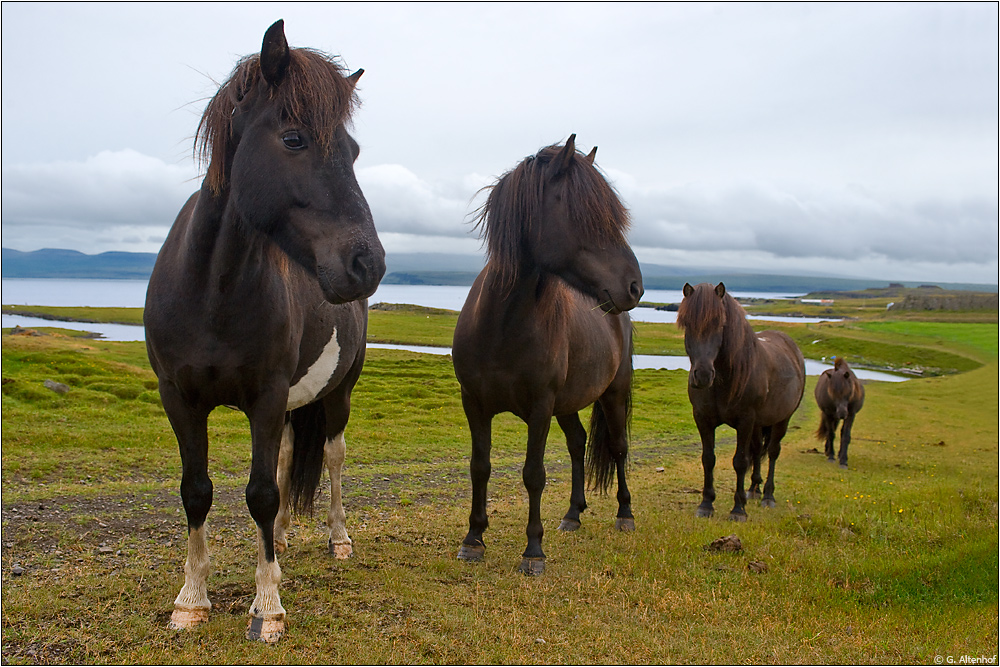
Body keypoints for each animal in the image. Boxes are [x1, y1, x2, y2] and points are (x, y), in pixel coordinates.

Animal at [143, 20, 384, 644]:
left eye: (353, 150)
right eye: (294, 139)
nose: (367, 265)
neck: (213, 291)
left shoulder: (268, 397)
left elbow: (261, 493)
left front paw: (268, 606)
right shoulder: (180, 399)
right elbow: (198, 491)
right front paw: (191, 600)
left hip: (337, 394)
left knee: (332, 457)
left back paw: (337, 538)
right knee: (283, 464)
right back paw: (276, 541)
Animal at [452, 134, 644, 576]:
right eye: (584, 216)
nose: (635, 287)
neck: (502, 325)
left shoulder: (540, 407)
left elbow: (533, 474)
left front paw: (533, 551)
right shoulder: (474, 404)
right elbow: (480, 466)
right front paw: (474, 539)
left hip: (611, 394)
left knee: (619, 448)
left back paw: (625, 515)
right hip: (568, 404)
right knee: (577, 443)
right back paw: (573, 515)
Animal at [676, 282, 808, 520]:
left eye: (719, 324)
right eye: (687, 324)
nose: (702, 375)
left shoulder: (745, 421)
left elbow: (740, 461)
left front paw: (738, 510)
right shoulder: (703, 419)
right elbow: (708, 458)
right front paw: (706, 504)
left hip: (781, 420)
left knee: (772, 452)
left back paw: (767, 496)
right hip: (759, 424)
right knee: (757, 451)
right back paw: (753, 490)